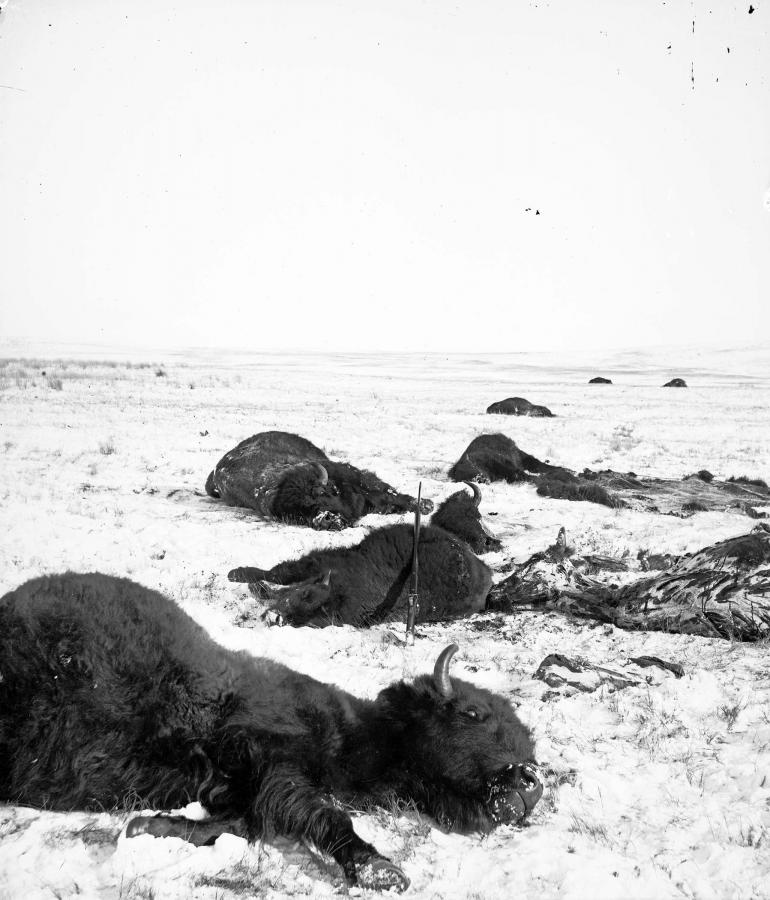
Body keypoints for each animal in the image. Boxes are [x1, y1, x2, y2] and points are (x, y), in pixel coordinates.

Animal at [1, 572, 540, 888]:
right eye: (473, 714)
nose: (530, 781)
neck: (352, 732)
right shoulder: (270, 761)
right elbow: (324, 817)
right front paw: (383, 872)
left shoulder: (246, 789)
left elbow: (239, 823)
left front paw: (149, 826)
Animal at [204, 430, 428, 528]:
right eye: (297, 515)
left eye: (319, 493)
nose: (325, 519)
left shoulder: (359, 478)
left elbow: (389, 493)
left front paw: (425, 505)